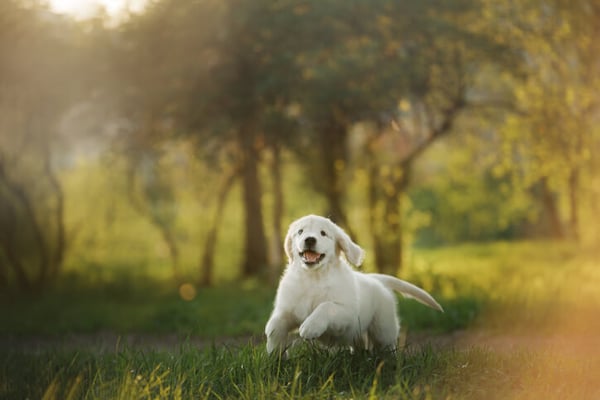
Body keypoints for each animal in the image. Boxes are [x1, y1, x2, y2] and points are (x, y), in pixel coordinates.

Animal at [264, 216, 442, 354]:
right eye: (300, 232)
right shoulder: (288, 309)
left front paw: (310, 326)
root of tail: (375, 279)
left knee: (387, 345)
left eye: (323, 233)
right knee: (360, 345)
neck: (313, 277)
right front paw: (275, 355)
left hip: (383, 327)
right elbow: (275, 324)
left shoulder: (347, 313)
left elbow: (326, 306)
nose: (309, 239)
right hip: (358, 333)